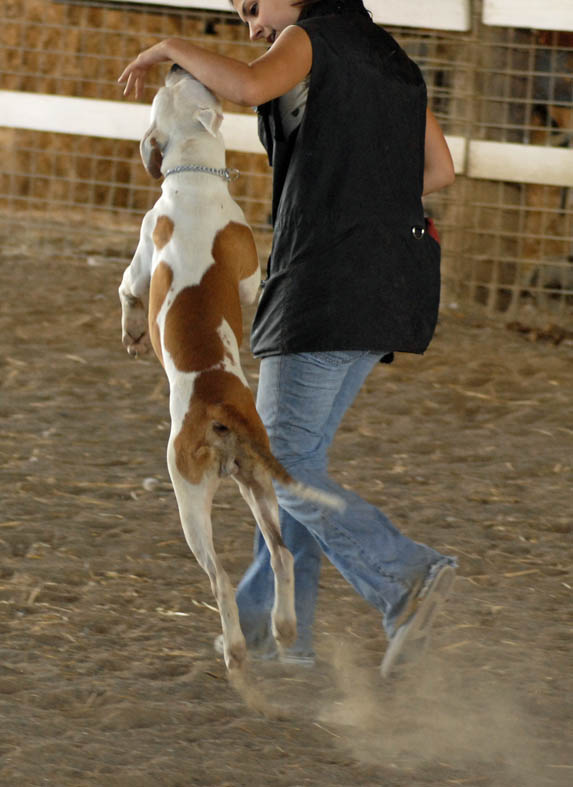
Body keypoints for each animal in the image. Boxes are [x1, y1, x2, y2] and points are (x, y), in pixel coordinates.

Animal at [118, 67, 338, 672]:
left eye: (172, 86)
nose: (174, 65)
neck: (193, 177)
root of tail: (216, 402)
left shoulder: (141, 261)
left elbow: (127, 290)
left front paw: (132, 333)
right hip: (256, 483)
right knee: (281, 554)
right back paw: (283, 630)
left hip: (190, 498)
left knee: (218, 577)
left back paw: (236, 649)